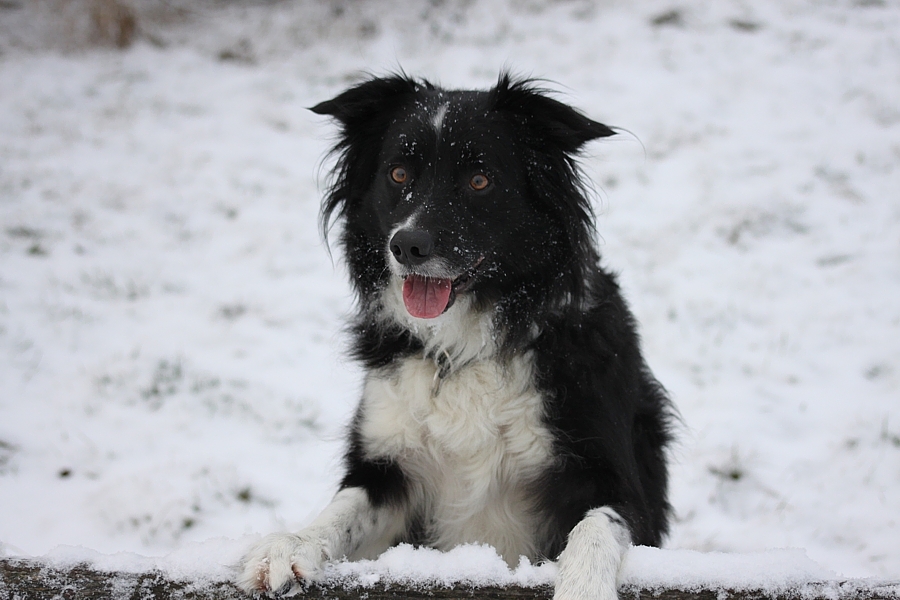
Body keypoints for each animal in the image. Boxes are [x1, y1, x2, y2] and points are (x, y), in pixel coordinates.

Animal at [236, 72, 672, 596]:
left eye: (479, 180)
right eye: (398, 174)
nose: (406, 245)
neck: (464, 346)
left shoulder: (613, 479)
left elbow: (595, 529)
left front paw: (582, 587)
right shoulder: (390, 472)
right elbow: (341, 510)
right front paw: (288, 545)